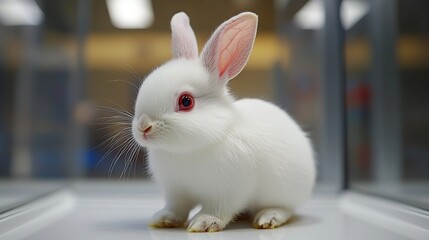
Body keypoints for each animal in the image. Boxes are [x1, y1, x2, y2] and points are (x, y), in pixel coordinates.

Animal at [132, 11, 316, 232]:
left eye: (186, 101)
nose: (143, 127)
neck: (187, 150)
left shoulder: (229, 191)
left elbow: (219, 209)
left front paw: (203, 222)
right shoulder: (177, 191)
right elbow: (177, 208)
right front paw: (163, 218)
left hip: (283, 191)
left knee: (285, 208)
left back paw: (268, 218)